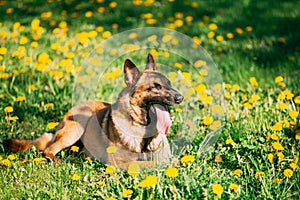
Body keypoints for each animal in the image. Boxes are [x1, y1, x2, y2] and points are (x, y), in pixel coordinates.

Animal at [8, 53, 184, 169]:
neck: (144, 134)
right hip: (78, 126)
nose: (180, 98)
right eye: (156, 87)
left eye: (169, 84)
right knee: (47, 150)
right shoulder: (119, 162)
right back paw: (55, 159)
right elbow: (150, 163)